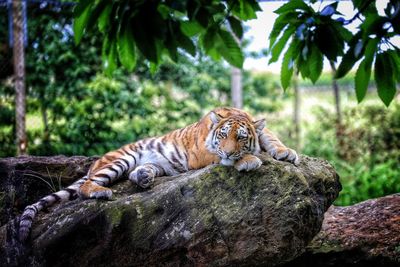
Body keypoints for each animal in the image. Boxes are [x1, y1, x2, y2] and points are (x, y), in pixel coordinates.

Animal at [18, 108, 300, 242]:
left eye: (240, 138)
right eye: (222, 136)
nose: (231, 151)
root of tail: (96, 161)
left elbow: (270, 137)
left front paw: (286, 153)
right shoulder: (201, 154)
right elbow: (225, 158)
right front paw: (249, 160)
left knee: (133, 175)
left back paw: (144, 177)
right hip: (119, 160)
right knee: (84, 185)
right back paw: (102, 192)